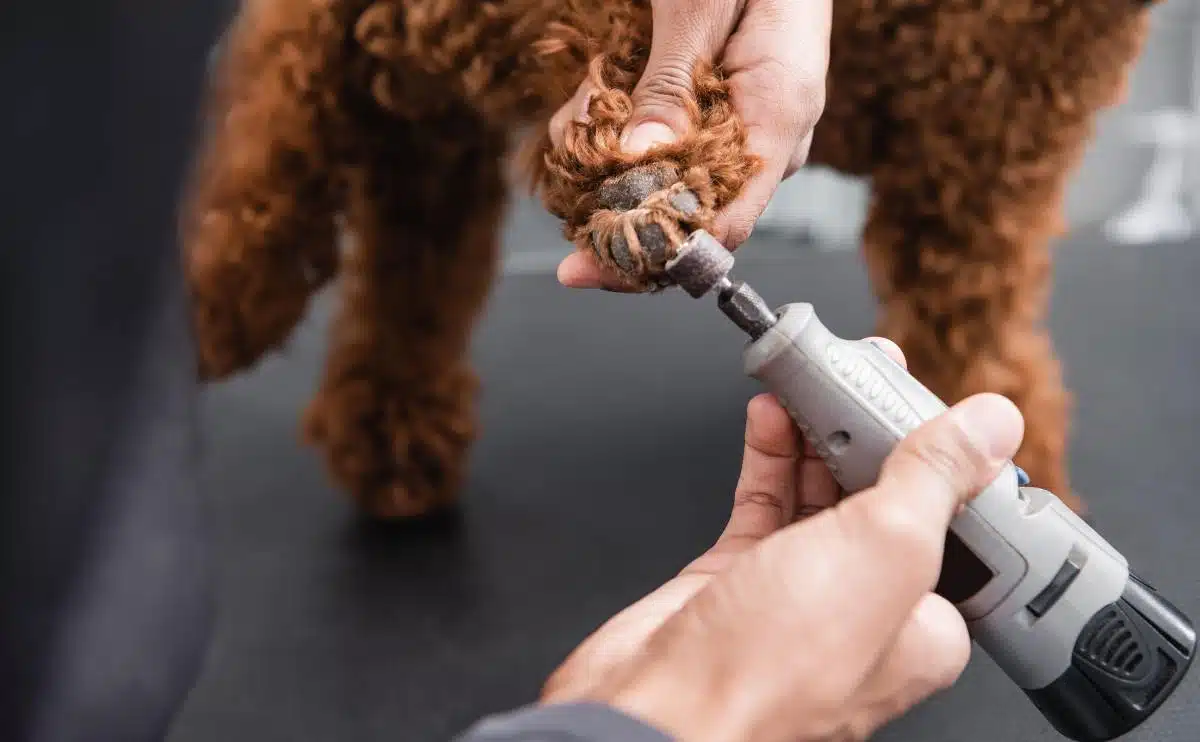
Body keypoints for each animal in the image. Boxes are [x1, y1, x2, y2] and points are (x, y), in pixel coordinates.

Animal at [184, 0, 1161, 516]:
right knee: (273, 124)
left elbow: (979, 340)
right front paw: (645, 165)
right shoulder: (979, 165)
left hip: (425, 130)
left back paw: (387, 438)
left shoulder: (988, 167)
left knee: (406, 261)